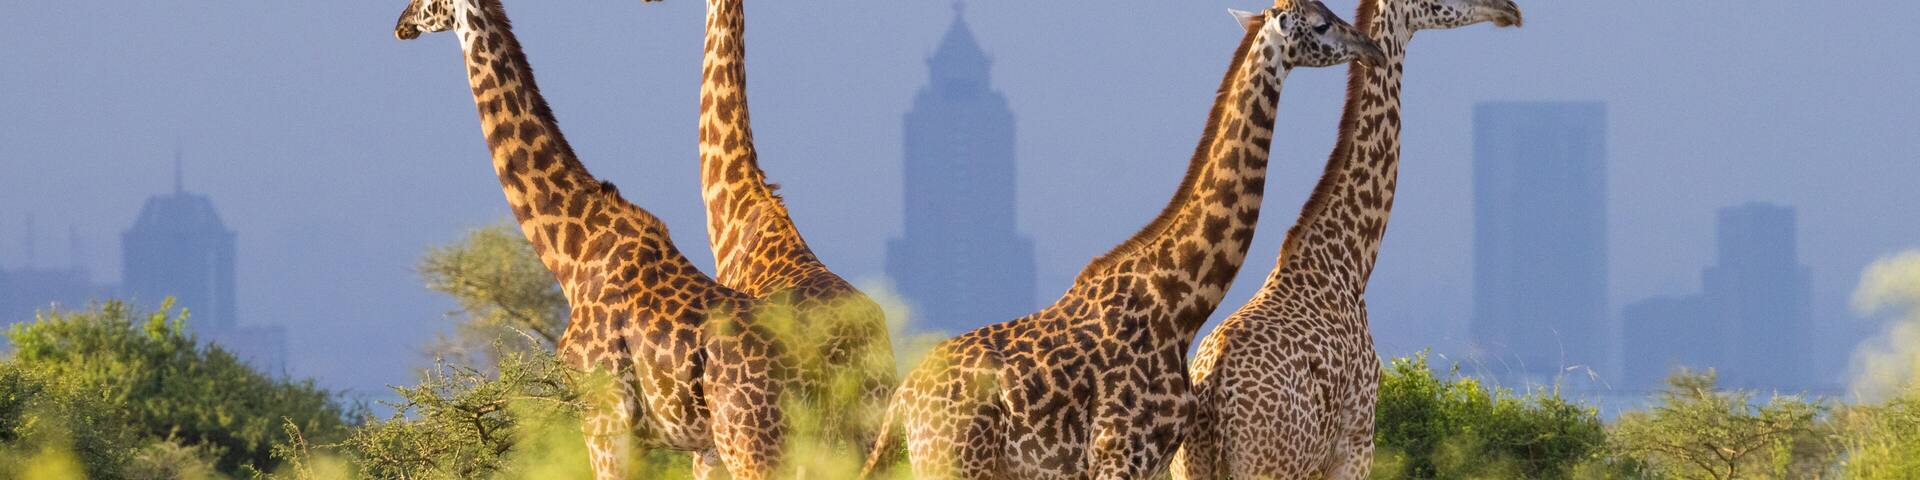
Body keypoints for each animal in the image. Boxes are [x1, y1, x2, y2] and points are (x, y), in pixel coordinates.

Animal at [861, 3, 1383, 478]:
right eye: (1321, 23)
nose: (1370, 48)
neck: (1178, 304)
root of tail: (904, 398)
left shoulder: (1154, 460)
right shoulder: (1120, 452)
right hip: (953, 461)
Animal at [1171, 0, 1522, 478]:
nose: (1510, 10)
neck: (1350, 262)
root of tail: (1215, 388)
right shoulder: (1357, 444)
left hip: (1190, 464)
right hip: (1267, 464)